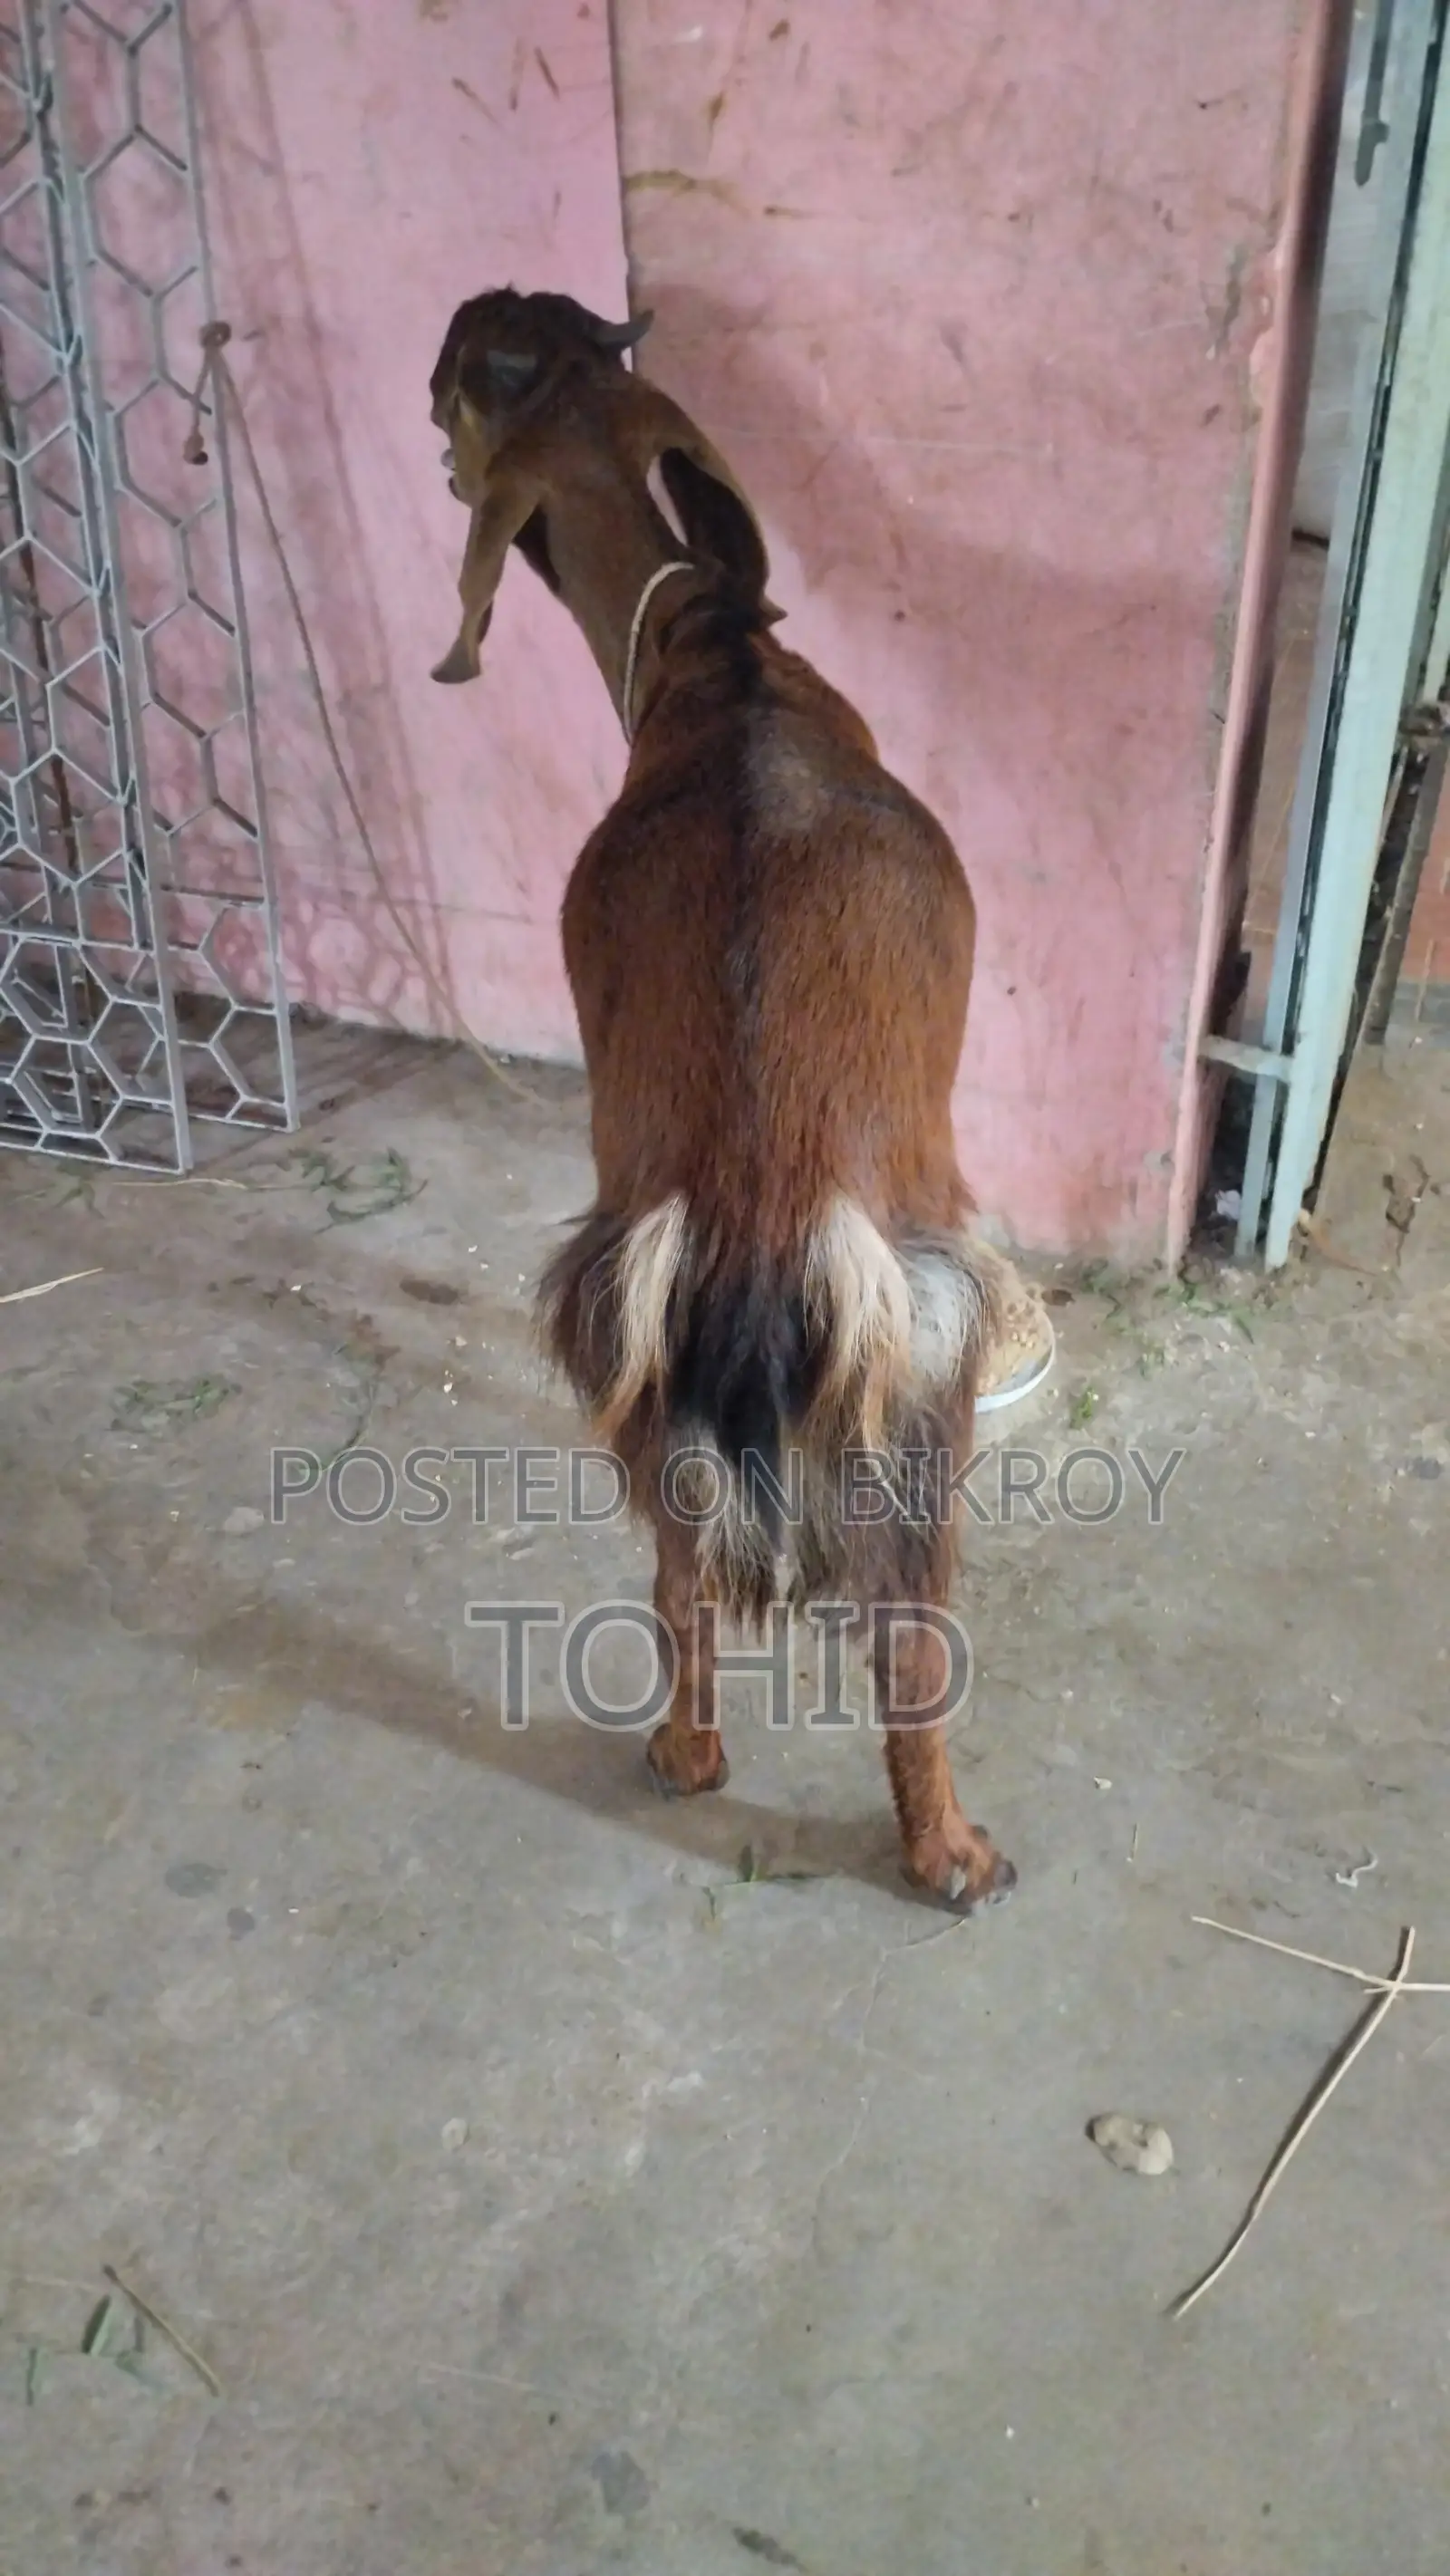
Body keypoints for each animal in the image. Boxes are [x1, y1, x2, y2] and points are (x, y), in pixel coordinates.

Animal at [429, 287, 1015, 1912]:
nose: (433, 428)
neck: (721, 659)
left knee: (680, 1563)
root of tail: (765, 1191)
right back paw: (946, 1848)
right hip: (917, 1346)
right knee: (897, 1626)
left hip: (640, 1320)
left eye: (473, 372)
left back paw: (697, 1762)